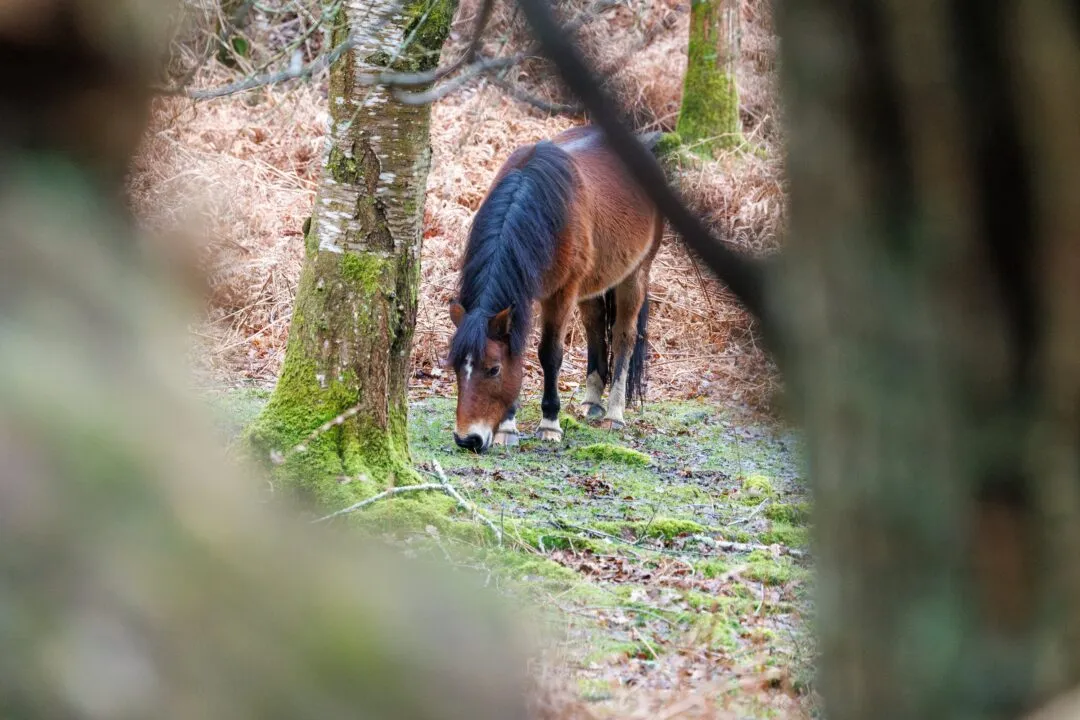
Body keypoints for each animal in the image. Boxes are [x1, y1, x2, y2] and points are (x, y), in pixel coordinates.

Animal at [446, 125, 664, 453]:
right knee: (595, 328)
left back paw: (614, 414)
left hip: (635, 274)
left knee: (624, 337)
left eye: (494, 369)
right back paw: (592, 401)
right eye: (456, 367)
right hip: (593, 285)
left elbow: (550, 353)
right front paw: (507, 427)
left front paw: (549, 423)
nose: (468, 439)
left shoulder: (560, 294)